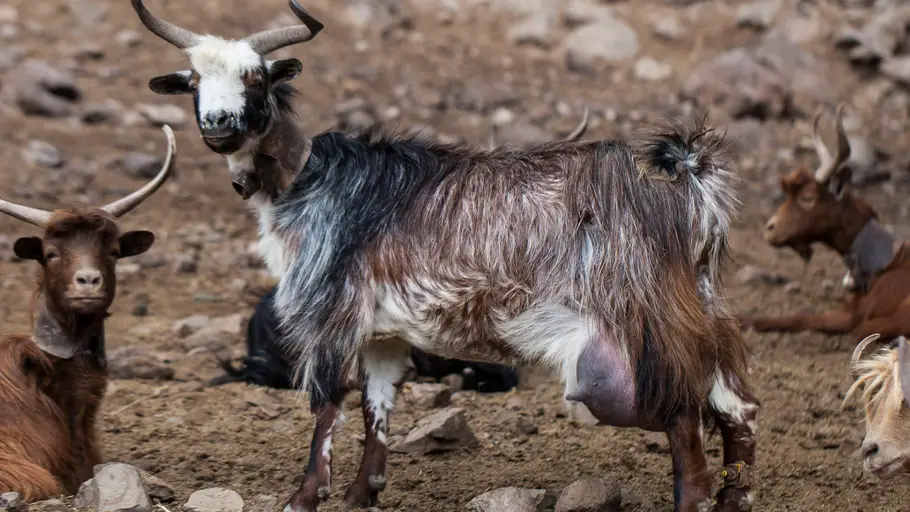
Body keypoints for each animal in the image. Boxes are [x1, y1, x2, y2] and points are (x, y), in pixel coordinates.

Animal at [133, 2, 758, 511]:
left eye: (256, 77)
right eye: (194, 81)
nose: (218, 124)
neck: (309, 177)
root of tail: (690, 185)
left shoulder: (331, 312)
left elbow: (328, 402)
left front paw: (305, 497)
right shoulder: (384, 331)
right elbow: (379, 403)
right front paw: (363, 493)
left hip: (645, 328)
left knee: (684, 417)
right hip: (704, 315)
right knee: (737, 408)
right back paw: (735, 498)